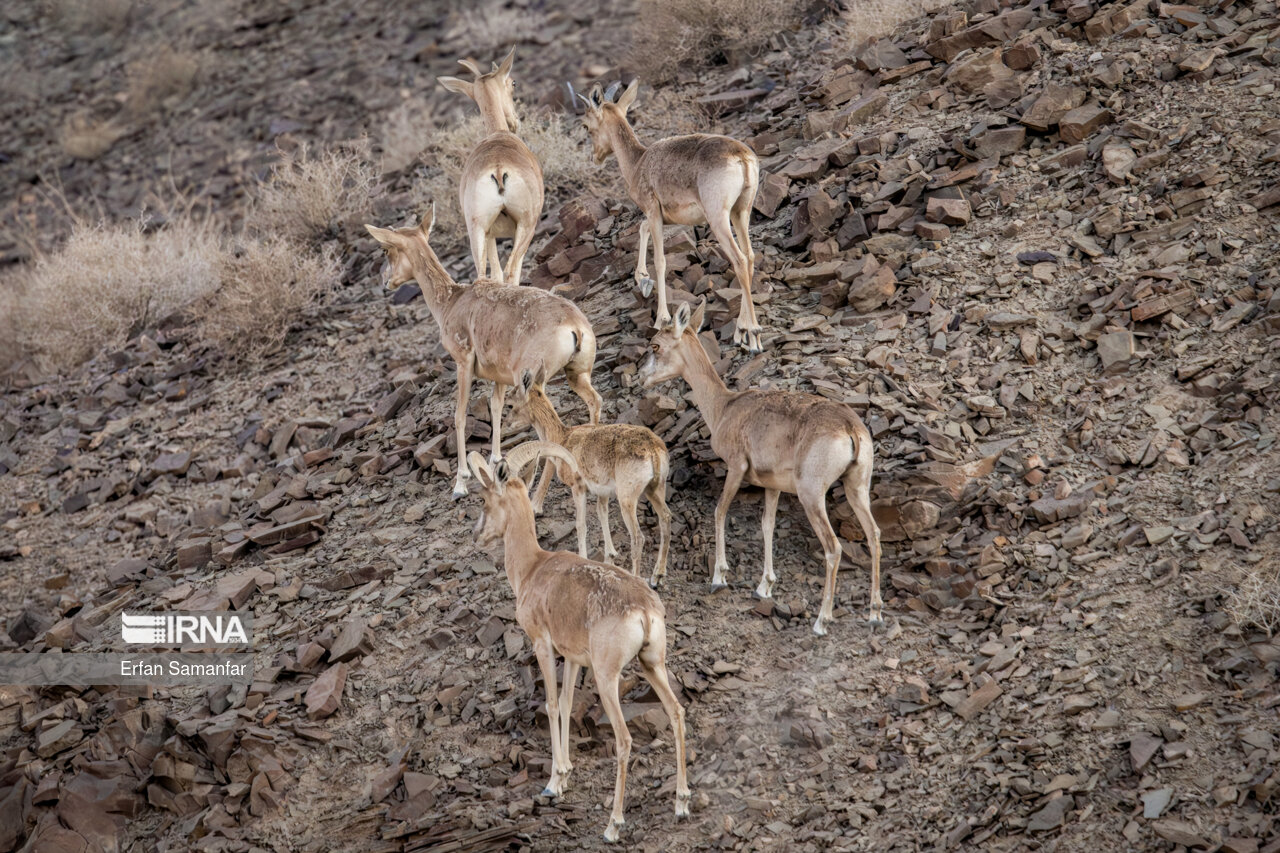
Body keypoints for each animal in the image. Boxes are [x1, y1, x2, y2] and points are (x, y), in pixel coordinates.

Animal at [471, 440, 691, 840]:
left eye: (483, 499)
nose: (476, 535)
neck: (531, 569)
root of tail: (644, 611)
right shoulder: (573, 658)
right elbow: (567, 703)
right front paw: (564, 776)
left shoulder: (543, 645)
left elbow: (551, 704)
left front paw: (553, 782)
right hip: (652, 664)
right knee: (677, 712)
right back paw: (682, 803)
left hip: (608, 678)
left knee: (624, 739)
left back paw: (613, 825)